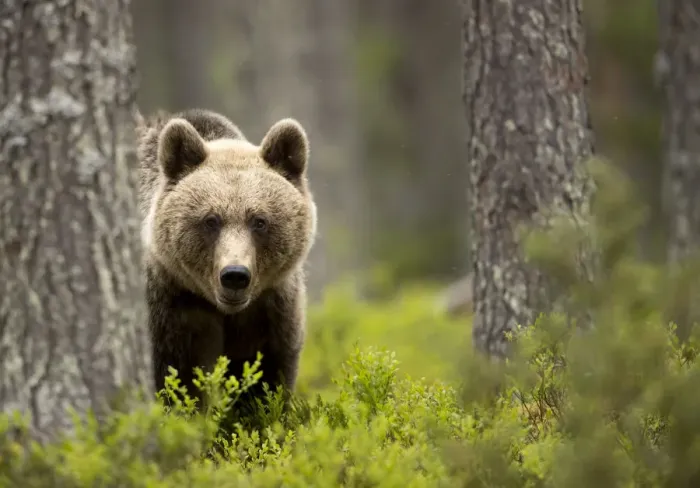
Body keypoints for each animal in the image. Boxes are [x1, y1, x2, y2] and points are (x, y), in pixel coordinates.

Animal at [135, 108, 317, 406]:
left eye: (259, 221)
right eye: (211, 220)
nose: (234, 275)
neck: (222, 310)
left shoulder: (270, 314)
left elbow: (264, 382)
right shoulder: (169, 309)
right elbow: (176, 382)